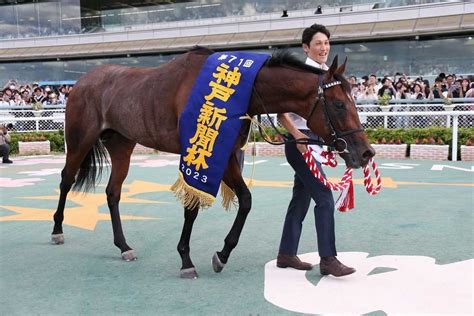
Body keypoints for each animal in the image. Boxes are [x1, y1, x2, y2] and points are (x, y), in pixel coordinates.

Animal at [49, 45, 374, 278]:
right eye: (339, 104)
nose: (365, 153)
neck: (241, 91)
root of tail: (82, 82)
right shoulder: (197, 152)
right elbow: (192, 207)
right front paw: (186, 259)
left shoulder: (224, 153)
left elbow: (246, 200)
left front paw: (223, 253)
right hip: (79, 140)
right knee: (66, 179)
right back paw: (57, 231)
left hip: (121, 145)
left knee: (113, 192)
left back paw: (124, 246)